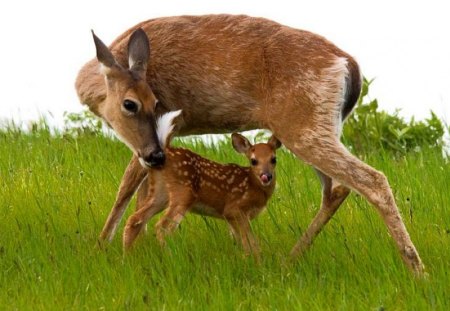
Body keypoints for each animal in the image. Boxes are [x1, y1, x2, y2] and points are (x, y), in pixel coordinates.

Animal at [75, 14, 424, 274]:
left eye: (154, 102)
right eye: (132, 103)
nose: (156, 155)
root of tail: (349, 65)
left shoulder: (164, 133)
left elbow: (127, 187)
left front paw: (103, 247)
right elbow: (140, 190)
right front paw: (133, 249)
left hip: (304, 125)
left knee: (371, 179)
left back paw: (417, 270)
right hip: (317, 126)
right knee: (336, 188)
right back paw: (289, 259)